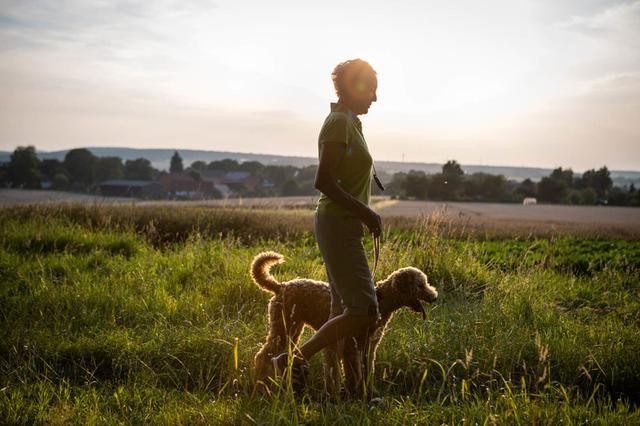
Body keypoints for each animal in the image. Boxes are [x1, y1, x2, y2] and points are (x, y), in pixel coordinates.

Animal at [251, 251, 440, 394]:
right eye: (420, 285)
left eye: (425, 283)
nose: (434, 296)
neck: (380, 300)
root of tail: (280, 286)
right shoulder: (351, 347)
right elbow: (353, 373)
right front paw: (355, 393)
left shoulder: (370, 347)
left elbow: (367, 370)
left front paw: (369, 391)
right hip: (283, 328)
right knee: (263, 355)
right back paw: (260, 382)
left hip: (293, 327)